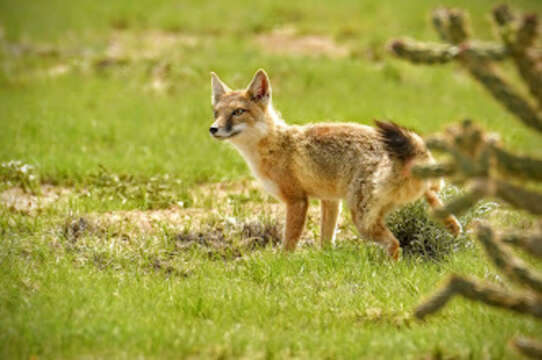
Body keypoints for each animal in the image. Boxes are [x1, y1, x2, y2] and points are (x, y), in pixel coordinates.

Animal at [210, 69, 462, 258]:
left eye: (238, 112)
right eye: (216, 113)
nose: (213, 129)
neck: (277, 142)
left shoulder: (297, 200)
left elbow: (289, 243)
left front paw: (282, 263)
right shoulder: (329, 200)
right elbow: (326, 241)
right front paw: (324, 259)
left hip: (362, 221)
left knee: (394, 244)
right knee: (435, 200)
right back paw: (453, 227)